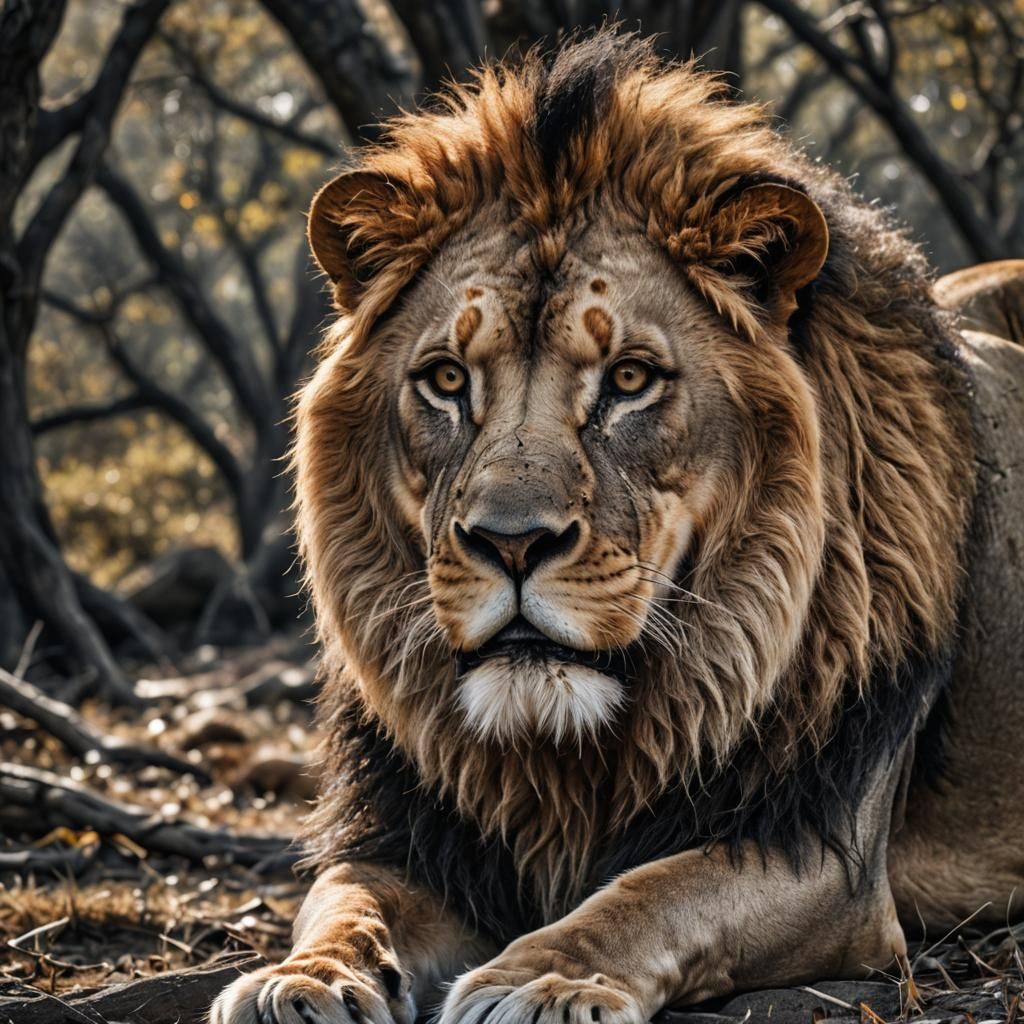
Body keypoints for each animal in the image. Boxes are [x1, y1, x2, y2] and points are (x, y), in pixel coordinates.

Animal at [212, 32, 1024, 1024]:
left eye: (630, 379)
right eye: (446, 379)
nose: (512, 544)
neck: (562, 757)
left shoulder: (830, 857)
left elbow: (652, 894)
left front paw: (542, 980)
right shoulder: (410, 836)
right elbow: (342, 900)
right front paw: (303, 978)